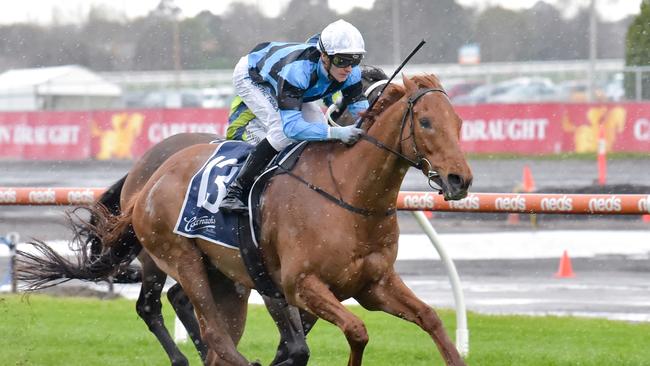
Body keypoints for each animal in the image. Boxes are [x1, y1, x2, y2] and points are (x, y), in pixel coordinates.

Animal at [19, 74, 470, 366]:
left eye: (459, 122)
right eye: (426, 122)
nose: (459, 179)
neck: (346, 194)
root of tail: (148, 184)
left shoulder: (374, 285)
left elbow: (429, 317)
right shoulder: (300, 285)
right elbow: (352, 332)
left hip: (226, 279)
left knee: (205, 327)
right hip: (178, 257)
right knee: (197, 327)